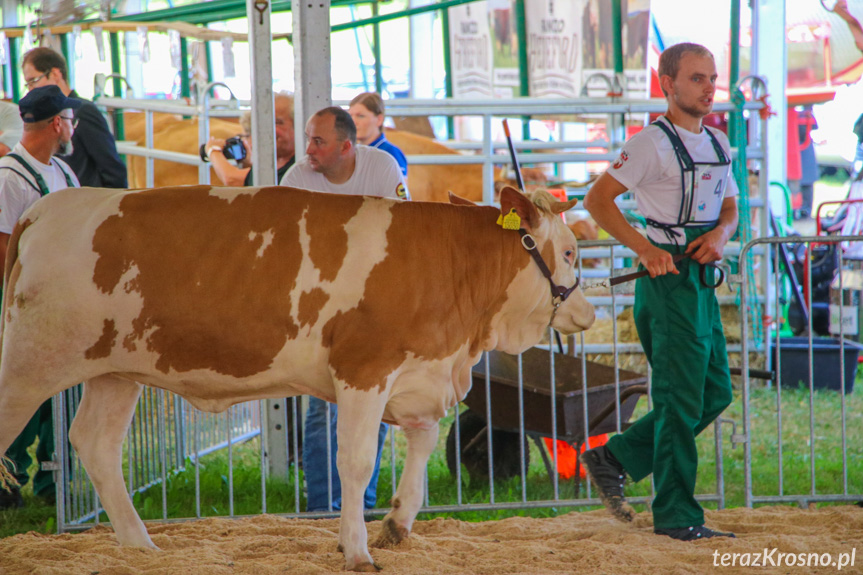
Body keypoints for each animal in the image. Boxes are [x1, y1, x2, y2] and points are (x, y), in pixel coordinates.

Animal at [0, 186, 592, 572]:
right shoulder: (364, 369)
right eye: (569, 251)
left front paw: (397, 522)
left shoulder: (420, 375)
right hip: (29, 363)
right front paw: (357, 550)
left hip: (115, 371)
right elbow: (355, 463)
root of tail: (43, 208)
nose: (585, 311)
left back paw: (141, 547)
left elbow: (422, 443)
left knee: (96, 444)